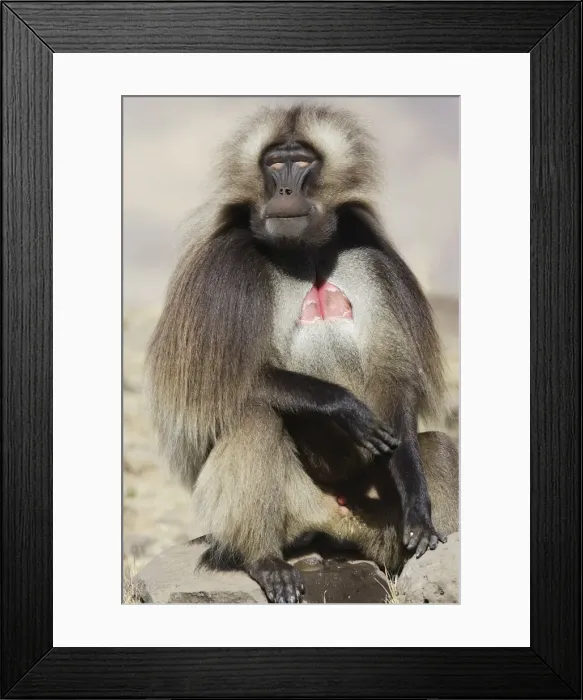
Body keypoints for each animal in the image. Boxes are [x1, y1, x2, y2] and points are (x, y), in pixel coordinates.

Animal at [145, 104, 459, 603]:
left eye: (302, 162)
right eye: (274, 164)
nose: (285, 190)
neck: (305, 252)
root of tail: (334, 519)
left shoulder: (370, 260)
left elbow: (393, 377)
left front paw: (417, 505)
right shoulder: (226, 272)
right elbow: (224, 384)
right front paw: (346, 408)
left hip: (372, 517)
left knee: (439, 447)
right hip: (290, 508)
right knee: (254, 418)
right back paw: (266, 562)